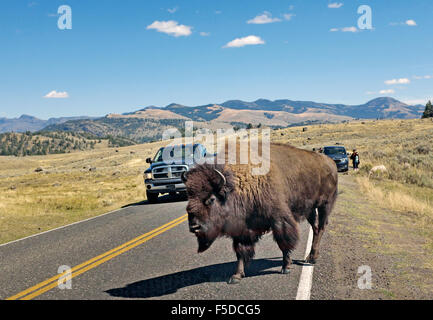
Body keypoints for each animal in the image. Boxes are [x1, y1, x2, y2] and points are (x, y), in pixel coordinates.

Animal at [181, 144, 336, 284]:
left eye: (211, 199)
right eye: (189, 197)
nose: (194, 226)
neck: (238, 184)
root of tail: (330, 162)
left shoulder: (279, 220)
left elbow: (284, 243)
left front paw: (286, 267)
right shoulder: (242, 230)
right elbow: (241, 252)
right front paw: (236, 276)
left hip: (324, 205)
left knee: (321, 227)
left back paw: (312, 258)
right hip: (311, 209)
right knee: (316, 228)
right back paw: (311, 256)